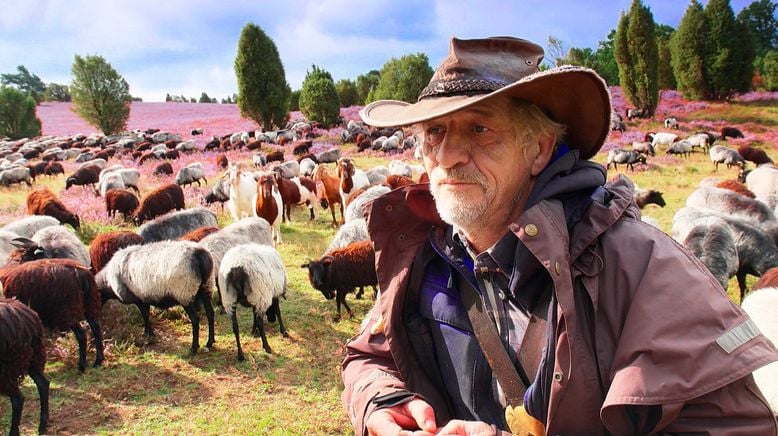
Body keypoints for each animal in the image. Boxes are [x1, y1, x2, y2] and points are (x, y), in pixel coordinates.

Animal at [0, 296, 48, 436]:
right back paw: (42, 425)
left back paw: (14, 432)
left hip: (8, 366)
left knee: (18, 399)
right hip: (32, 356)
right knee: (43, 383)